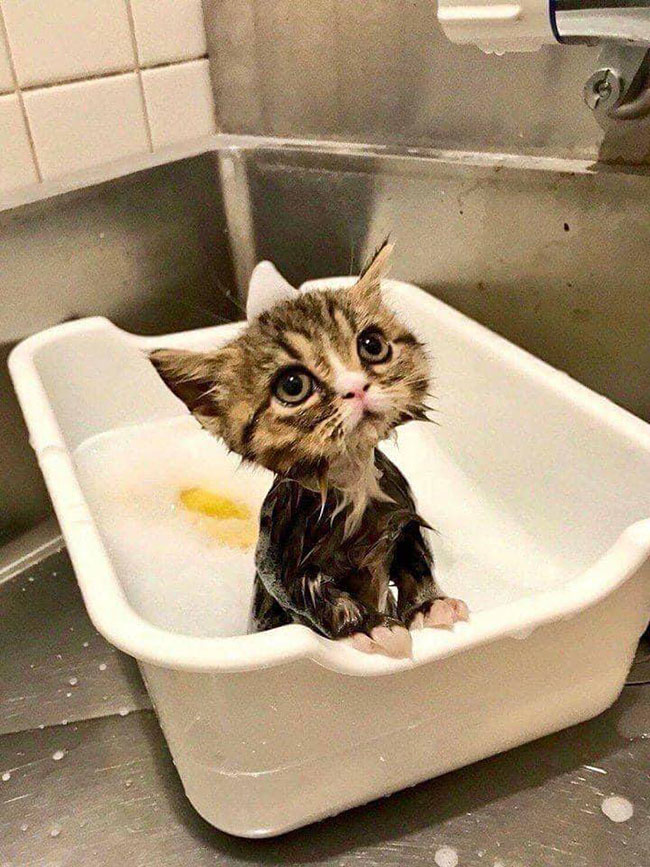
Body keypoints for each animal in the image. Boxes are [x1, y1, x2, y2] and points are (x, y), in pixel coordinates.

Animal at [151, 242, 468, 658]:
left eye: (373, 346)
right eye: (293, 385)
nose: (357, 388)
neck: (355, 484)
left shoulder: (401, 510)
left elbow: (416, 556)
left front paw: (429, 605)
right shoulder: (276, 554)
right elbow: (309, 593)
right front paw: (368, 625)